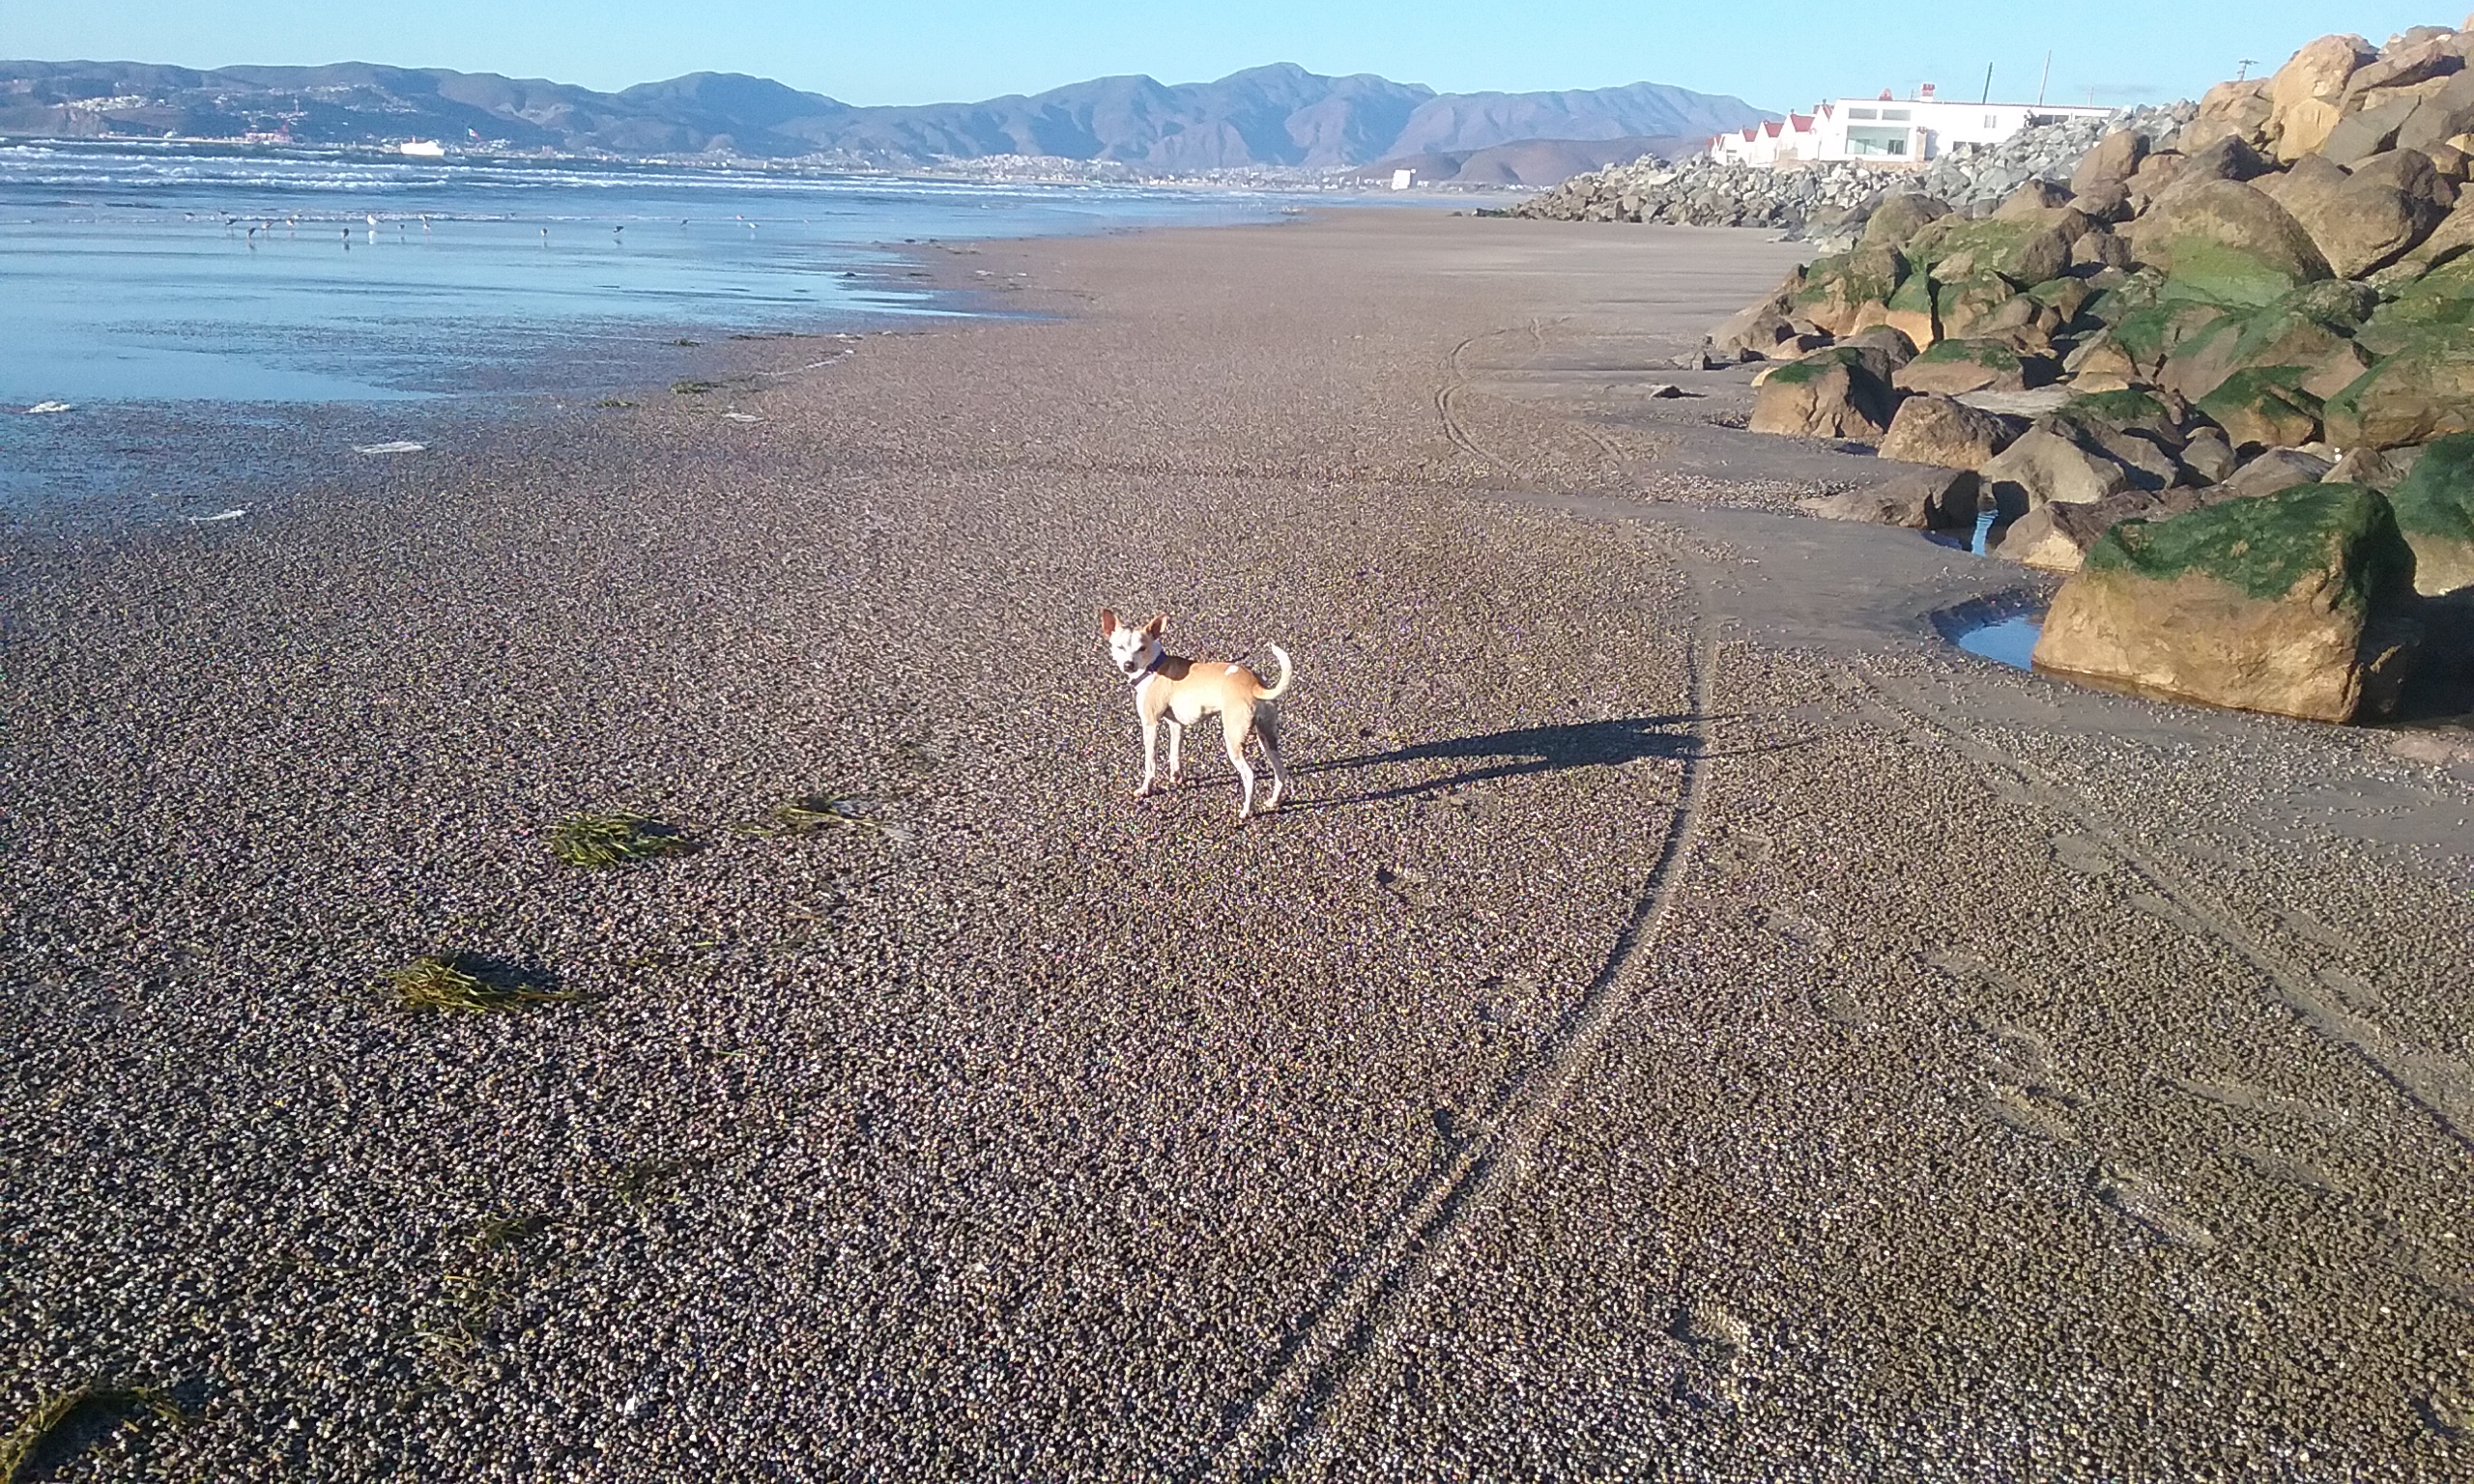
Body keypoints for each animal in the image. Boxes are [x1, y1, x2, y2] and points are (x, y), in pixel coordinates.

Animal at [1099, 608, 1294, 818]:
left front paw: (1146, 790)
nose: (1128, 665)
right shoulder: (1176, 725)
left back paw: (1246, 811)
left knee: (1249, 775)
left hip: (1234, 739)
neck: (1153, 666)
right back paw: (1274, 801)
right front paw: (1177, 778)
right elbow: (1174, 754)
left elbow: (1150, 763)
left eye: (1141, 648)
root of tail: (1254, 684)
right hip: (1266, 736)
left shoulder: (1150, 724)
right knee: (1281, 770)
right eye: (1119, 647)